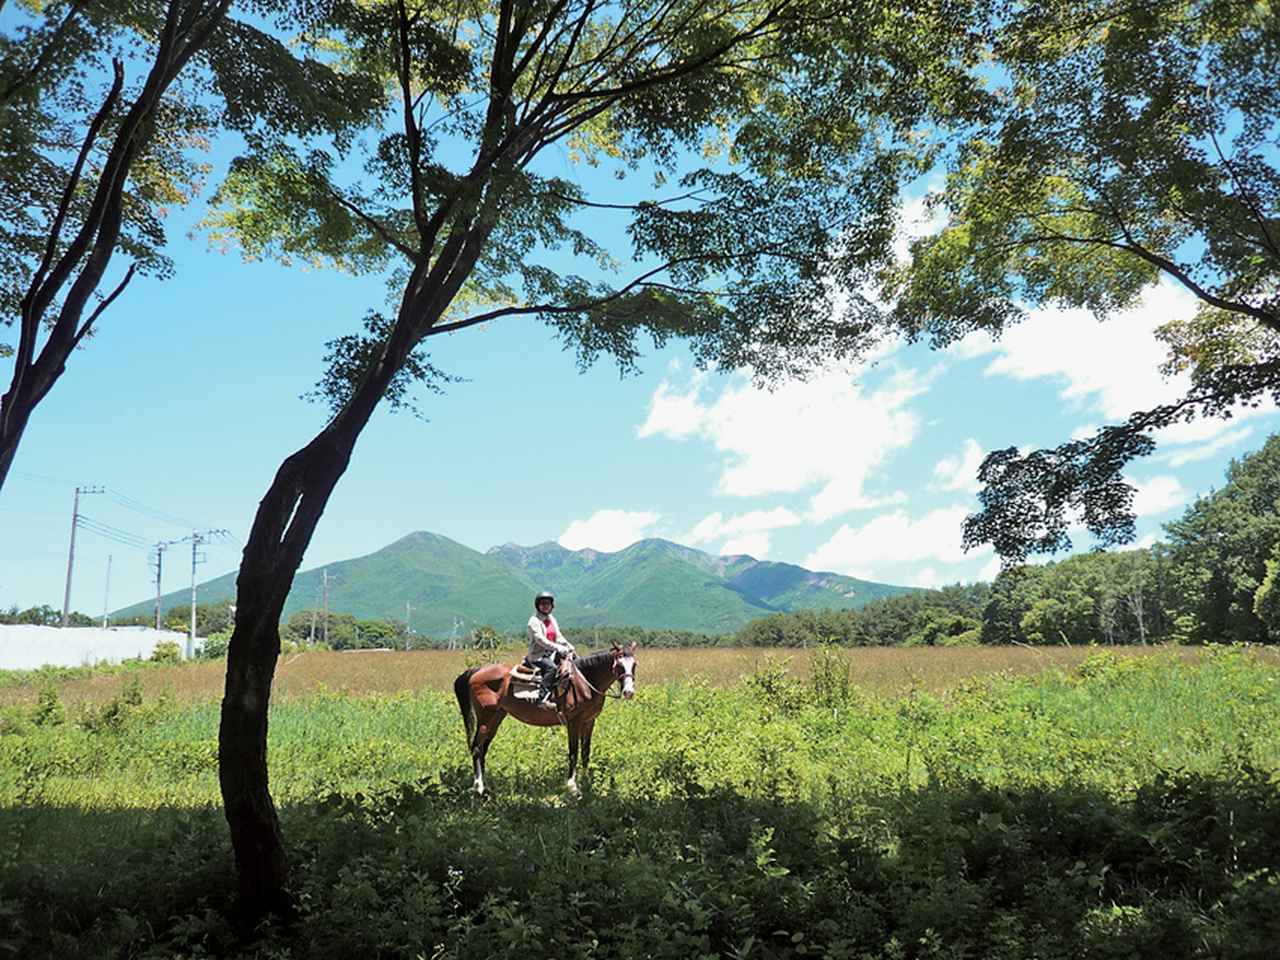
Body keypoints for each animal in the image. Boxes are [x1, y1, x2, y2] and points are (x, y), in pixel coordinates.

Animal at [453, 647, 637, 798]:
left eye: (634, 665)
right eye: (619, 666)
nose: (628, 692)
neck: (585, 681)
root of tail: (477, 671)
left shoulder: (589, 721)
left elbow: (585, 752)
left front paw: (587, 782)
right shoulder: (574, 722)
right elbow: (573, 752)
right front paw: (572, 787)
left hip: (497, 717)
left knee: (483, 749)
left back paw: (485, 787)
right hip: (485, 717)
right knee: (476, 748)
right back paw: (479, 788)